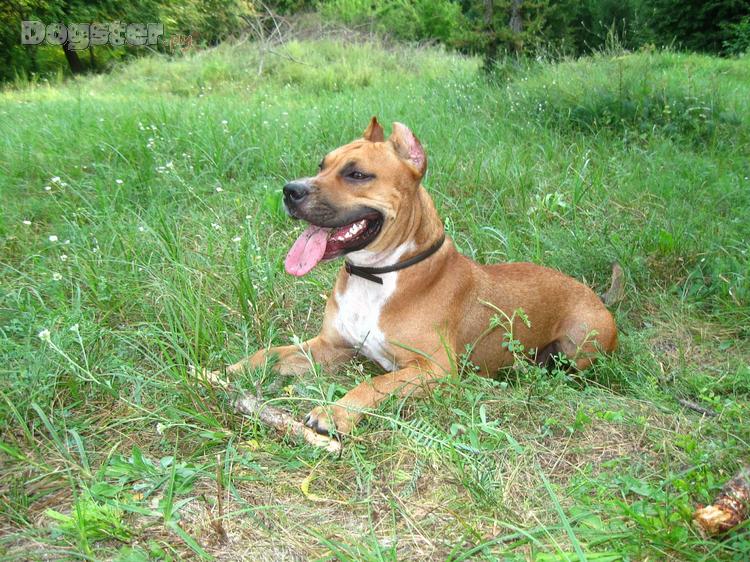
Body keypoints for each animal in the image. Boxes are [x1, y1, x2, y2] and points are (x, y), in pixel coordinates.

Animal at [221, 118, 617, 438]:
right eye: (322, 165)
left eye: (357, 174)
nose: (291, 190)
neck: (377, 275)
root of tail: (597, 296)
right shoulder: (331, 346)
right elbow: (270, 353)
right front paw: (234, 369)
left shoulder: (433, 369)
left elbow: (376, 383)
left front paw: (335, 413)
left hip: (581, 340)